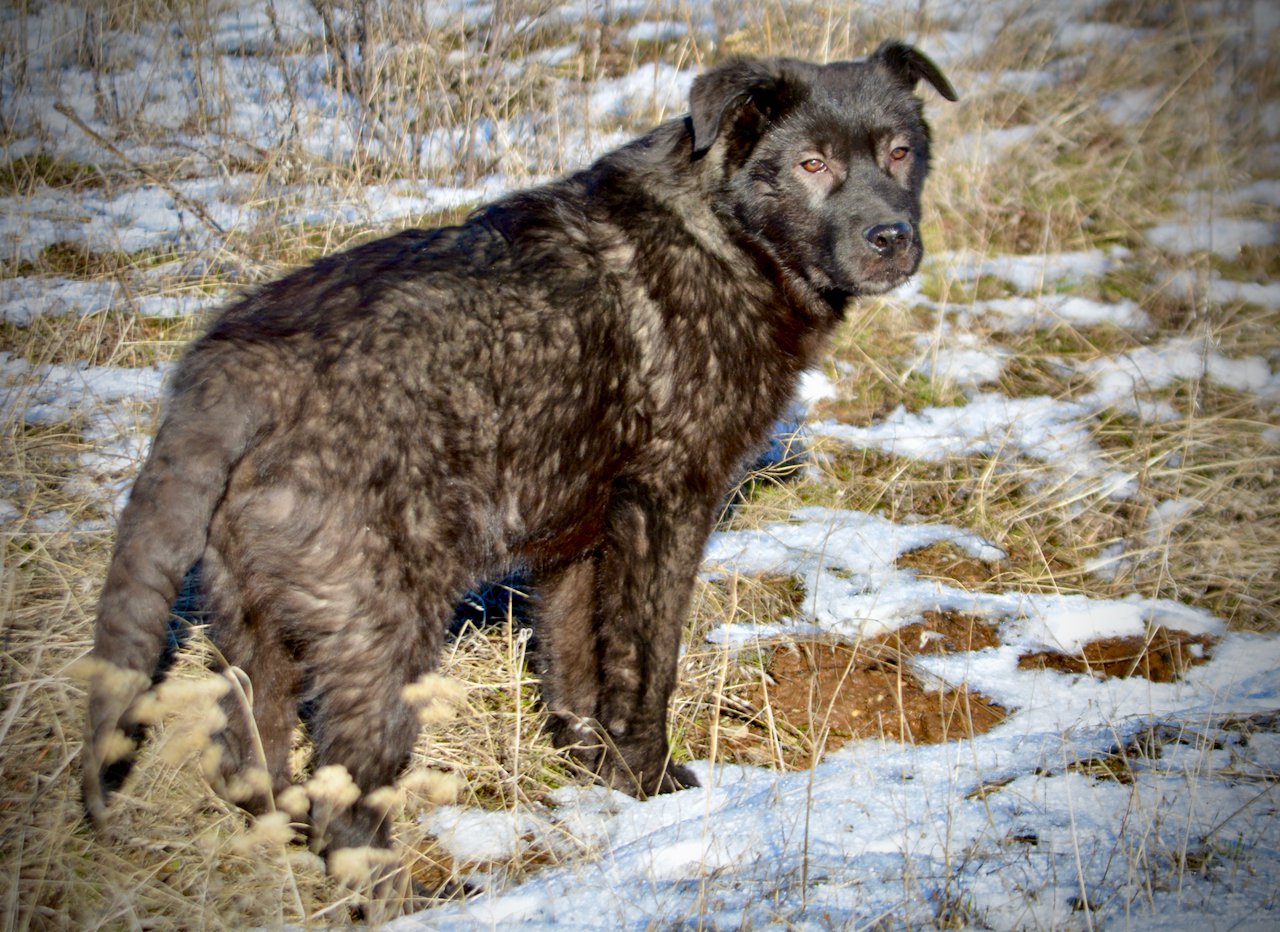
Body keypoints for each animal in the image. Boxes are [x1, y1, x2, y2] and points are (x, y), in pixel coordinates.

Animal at [80, 41, 957, 880]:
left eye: (901, 151)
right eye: (811, 163)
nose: (893, 239)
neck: (725, 232)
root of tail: (228, 372)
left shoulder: (576, 535)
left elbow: (573, 666)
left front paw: (591, 771)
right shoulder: (667, 506)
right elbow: (646, 663)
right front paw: (653, 787)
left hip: (253, 625)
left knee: (248, 760)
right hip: (382, 631)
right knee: (346, 804)